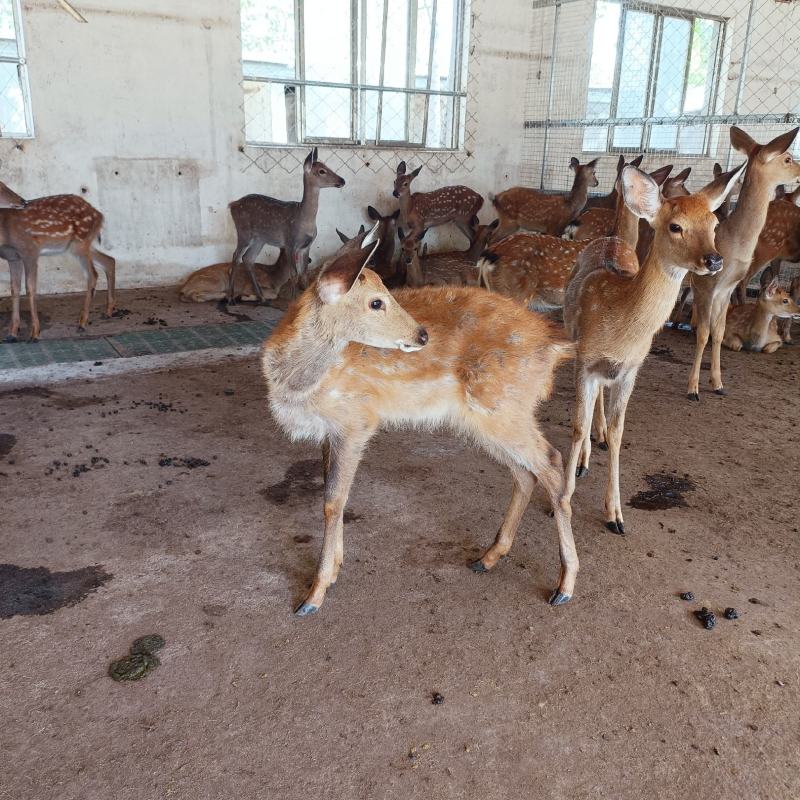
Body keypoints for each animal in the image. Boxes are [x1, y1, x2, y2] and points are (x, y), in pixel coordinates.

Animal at [0, 182, 116, 342]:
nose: (22, 201)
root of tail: (99, 215)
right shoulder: (12, 257)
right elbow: (14, 289)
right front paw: (12, 333)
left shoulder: (30, 250)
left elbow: (30, 288)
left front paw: (35, 333)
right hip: (80, 245)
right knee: (109, 261)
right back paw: (108, 311)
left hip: (80, 243)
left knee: (93, 274)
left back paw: (82, 323)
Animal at [228, 148, 345, 304]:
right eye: (321, 171)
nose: (342, 180)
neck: (304, 220)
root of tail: (232, 205)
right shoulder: (290, 243)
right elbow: (293, 274)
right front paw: (292, 302)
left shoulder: (306, 246)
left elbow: (303, 274)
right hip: (243, 231)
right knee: (236, 256)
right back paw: (230, 298)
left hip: (260, 239)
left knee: (248, 259)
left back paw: (262, 297)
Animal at [261, 224, 579, 616]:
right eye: (376, 301)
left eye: (386, 291)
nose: (422, 334)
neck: (299, 383)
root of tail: (553, 349)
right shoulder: (329, 431)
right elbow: (331, 495)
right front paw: (334, 569)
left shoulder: (357, 420)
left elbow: (334, 501)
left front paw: (314, 594)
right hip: (487, 418)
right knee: (525, 473)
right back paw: (488, 557)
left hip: (503, 407)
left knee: (551, 462)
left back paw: (564, 586)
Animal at [561, 163, 742, 534]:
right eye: (675, 226)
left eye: (714, 224)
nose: (714, 260)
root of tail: (612, 238)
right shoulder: (584, 361)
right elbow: (577, 425)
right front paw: (563, 496)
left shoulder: (632, 369)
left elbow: (619, 432)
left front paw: (615, 515)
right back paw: (584, 457)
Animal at [687, 126, 800, 401]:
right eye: (787, 158)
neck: (733, 242)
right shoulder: (707, 285)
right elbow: (703, 333)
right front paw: (693, 389)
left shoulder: (725, 289)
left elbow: (718, 332)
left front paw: (718, 384)